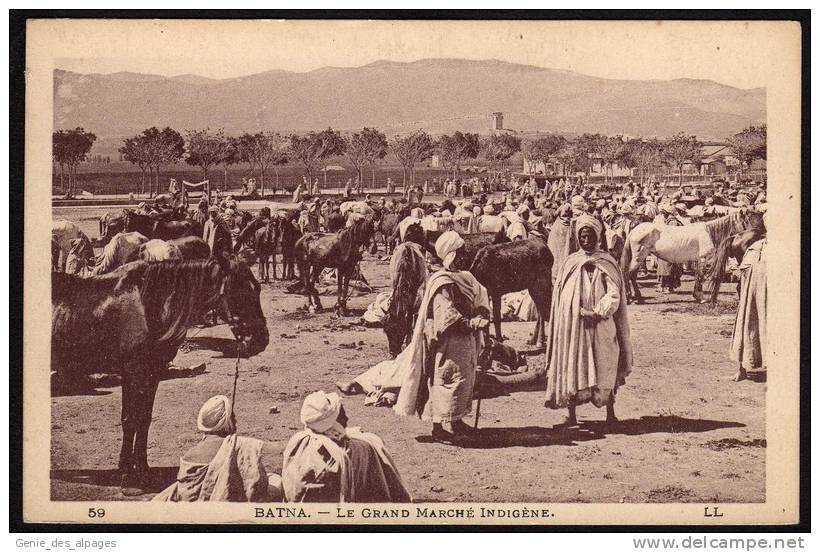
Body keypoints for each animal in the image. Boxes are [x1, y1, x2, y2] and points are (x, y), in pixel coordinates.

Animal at [50, 256, 270, 490]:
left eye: (257, 289)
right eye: (239, 291)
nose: (261, 339)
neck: (147, 306)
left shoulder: (150, 374)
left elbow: (142, 420)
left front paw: (140, 469)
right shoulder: (134, 372)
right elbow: (131, 420)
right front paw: (127, 473)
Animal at [620, 209, 764, 302]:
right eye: (750, 220)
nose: (761, 235)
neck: (710, 233)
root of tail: (634, 230)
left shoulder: (697, 260)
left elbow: (698, 277)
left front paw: (697, 296)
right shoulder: (703, 259)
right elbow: (700, 277)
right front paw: (701, 298)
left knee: (632, 275)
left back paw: (638, 296)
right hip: (639, 256)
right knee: (628, 275)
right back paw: (630, 297)